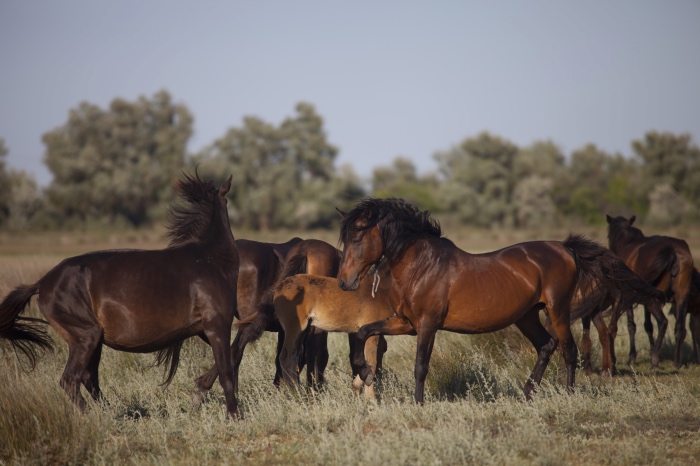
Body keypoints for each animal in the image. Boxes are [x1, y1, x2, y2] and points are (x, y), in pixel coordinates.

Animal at [0, 173, 242, 418]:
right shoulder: (216, 326)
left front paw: (203, 393)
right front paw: (233, 414)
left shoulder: (204, 329)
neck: (209, 260)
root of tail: (42, 283)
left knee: (88, 378)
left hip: (93, 340)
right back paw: (93, 417)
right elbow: (226, 369)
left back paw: (112, 414)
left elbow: (233, 356)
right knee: (71, 379)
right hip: (85, 337)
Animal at [273, 262, 392, 398]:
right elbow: (371, 361)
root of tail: (279, 288)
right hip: (295, 328)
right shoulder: (372, 333)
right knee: (286, 358)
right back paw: (296, 394)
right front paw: (370, 397)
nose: (380, 379)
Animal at [337, 198, 663, 404]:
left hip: (557, 310)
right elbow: (364, 331)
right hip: (527, 316)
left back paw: (568, 395)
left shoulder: (427, 325)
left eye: (357, 238)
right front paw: (364, 373)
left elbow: (420, 365)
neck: (422, 265)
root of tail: (565, 248)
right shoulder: (405, 323)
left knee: (569, 351)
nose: (344, 281)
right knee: (546, 346)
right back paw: (527, 394)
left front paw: (417, 404)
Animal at [606, 215, 693, 368]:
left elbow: (632, 326)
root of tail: (672, 251)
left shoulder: (629, 298)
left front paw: (631, 358)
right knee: (680, 328)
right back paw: (676, 362)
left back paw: (655, 360)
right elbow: (648, 326)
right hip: (681, 296)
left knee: (663, 322)